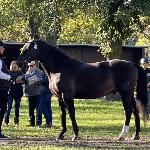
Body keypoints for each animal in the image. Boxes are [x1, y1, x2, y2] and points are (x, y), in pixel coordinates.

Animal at [17, 39, 148, 141]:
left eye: (30, 48)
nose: (18, 63)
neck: (60, 68)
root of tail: (132, 64)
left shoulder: (67, 96)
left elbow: (71, 114)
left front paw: (75, 135)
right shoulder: (59, 98)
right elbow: (62, 114)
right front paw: (61, 134)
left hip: (125, 93)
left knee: (128, 110)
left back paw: (122, 135)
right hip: (130, 94)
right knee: (135, 110)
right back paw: (135, 135)